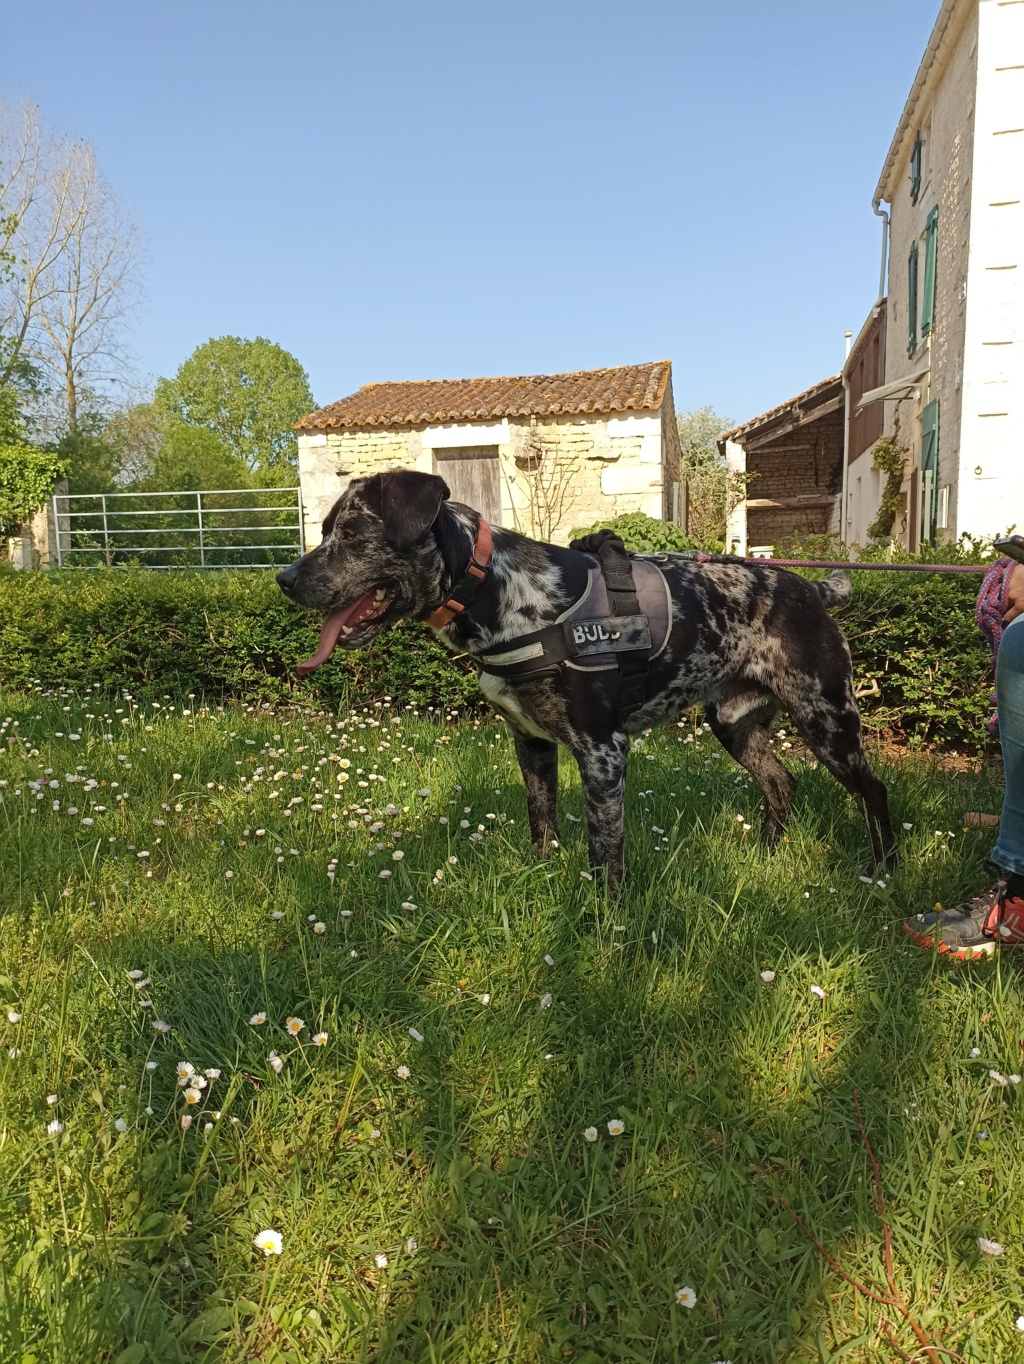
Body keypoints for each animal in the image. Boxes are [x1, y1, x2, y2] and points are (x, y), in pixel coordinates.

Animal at [276, 474, 894, 889]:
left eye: (352, 532)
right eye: (325, 530)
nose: (284, 579)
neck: (499, 590)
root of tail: (813, 589)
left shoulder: (602, 750)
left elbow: (605, 851)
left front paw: (605, 925)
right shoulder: (531, 741)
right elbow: (542, 822)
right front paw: (543, 878)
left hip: (827, 719)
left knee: (874, 791)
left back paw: (884, 870)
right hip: (734, 723)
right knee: (781, 783)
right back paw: (765, 854)